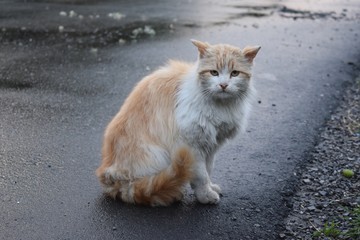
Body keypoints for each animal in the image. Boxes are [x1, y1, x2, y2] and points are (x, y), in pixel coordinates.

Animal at [95, 39, 258, 206]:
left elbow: (208, 169)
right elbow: (201, 175)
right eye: (214, 73)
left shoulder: (211, 146)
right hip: (156, 156)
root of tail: (107, 176)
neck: (221, 106)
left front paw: (210, 187)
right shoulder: (193, 146)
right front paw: (205, 195)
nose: (223, 85)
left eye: (234, 73)